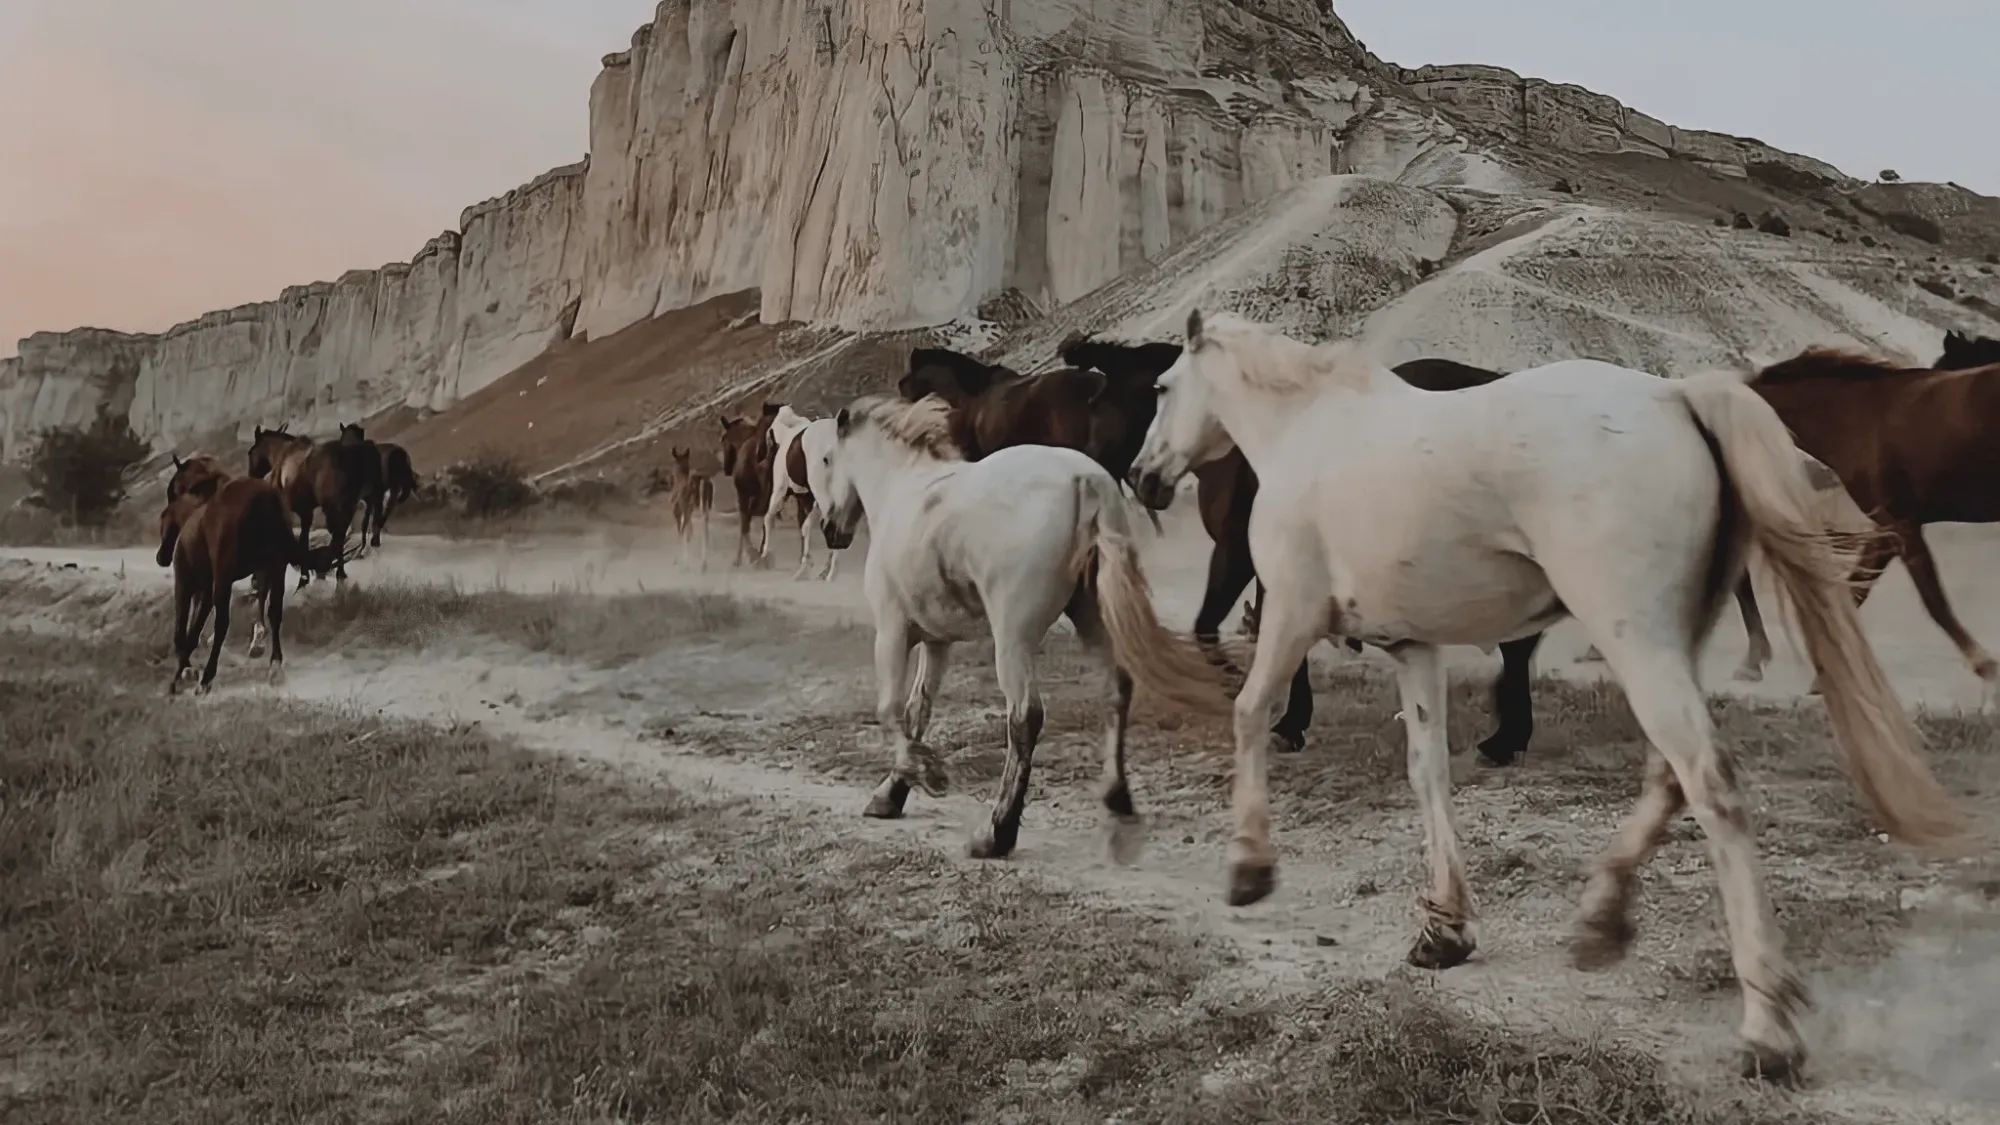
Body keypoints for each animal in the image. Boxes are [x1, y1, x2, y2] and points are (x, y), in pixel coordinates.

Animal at [158, 455, 347, 693]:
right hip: (275, 568)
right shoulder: (209, 589)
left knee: (222, 624)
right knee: (274, 612)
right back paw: (274, 666)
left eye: (173, 491)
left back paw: (207, 677)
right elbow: (194, 630)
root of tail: (263, 500)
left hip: (225, 578)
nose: (162, 556)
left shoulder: (189, 585)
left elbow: (185, 633)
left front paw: (182, 676)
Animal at [246, 425, 375, 587]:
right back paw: (339, 571)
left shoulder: (291, 510)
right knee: (340, 537)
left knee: (338, 537)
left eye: (251, 452)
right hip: (348, 507)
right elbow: (304, 540)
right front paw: (305, 574)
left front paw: (303, 576)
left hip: (334, 508)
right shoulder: (306, 511)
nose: (251, 475)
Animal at [758, 405, 837, 580]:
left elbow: (768, 517)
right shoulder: (805, 499)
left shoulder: (781, 491)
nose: (761, 460)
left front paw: (763, 555)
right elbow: (804, 527)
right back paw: (827, 572)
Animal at [806, 393, 1230, 860]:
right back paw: (1116, 798)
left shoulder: (893, 631)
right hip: (1093, 618)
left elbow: (889, 709)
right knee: (1116, 690)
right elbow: (918, 710)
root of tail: (1085, 481)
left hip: (1013, 636)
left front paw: (925, 779)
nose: (832, 530)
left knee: (1025, 716)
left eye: (825, 459)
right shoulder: (937, 643)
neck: (902, 491)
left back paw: (996, 832)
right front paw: (893, 793)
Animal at [1127, 308, 1970, 1081]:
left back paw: (1766, 1029)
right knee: (1669, 776)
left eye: (1162, 387)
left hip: (1634, 639)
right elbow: (1428, 771)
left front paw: (1249, 869)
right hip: (1669, 644)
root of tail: (1677, 397)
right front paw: (1444, 931)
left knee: (1711, 785)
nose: (1143, 477)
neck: (1308, 429)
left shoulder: (1293, 613)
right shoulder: (1413, 646)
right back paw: (1602, 920)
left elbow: (1250, 715)